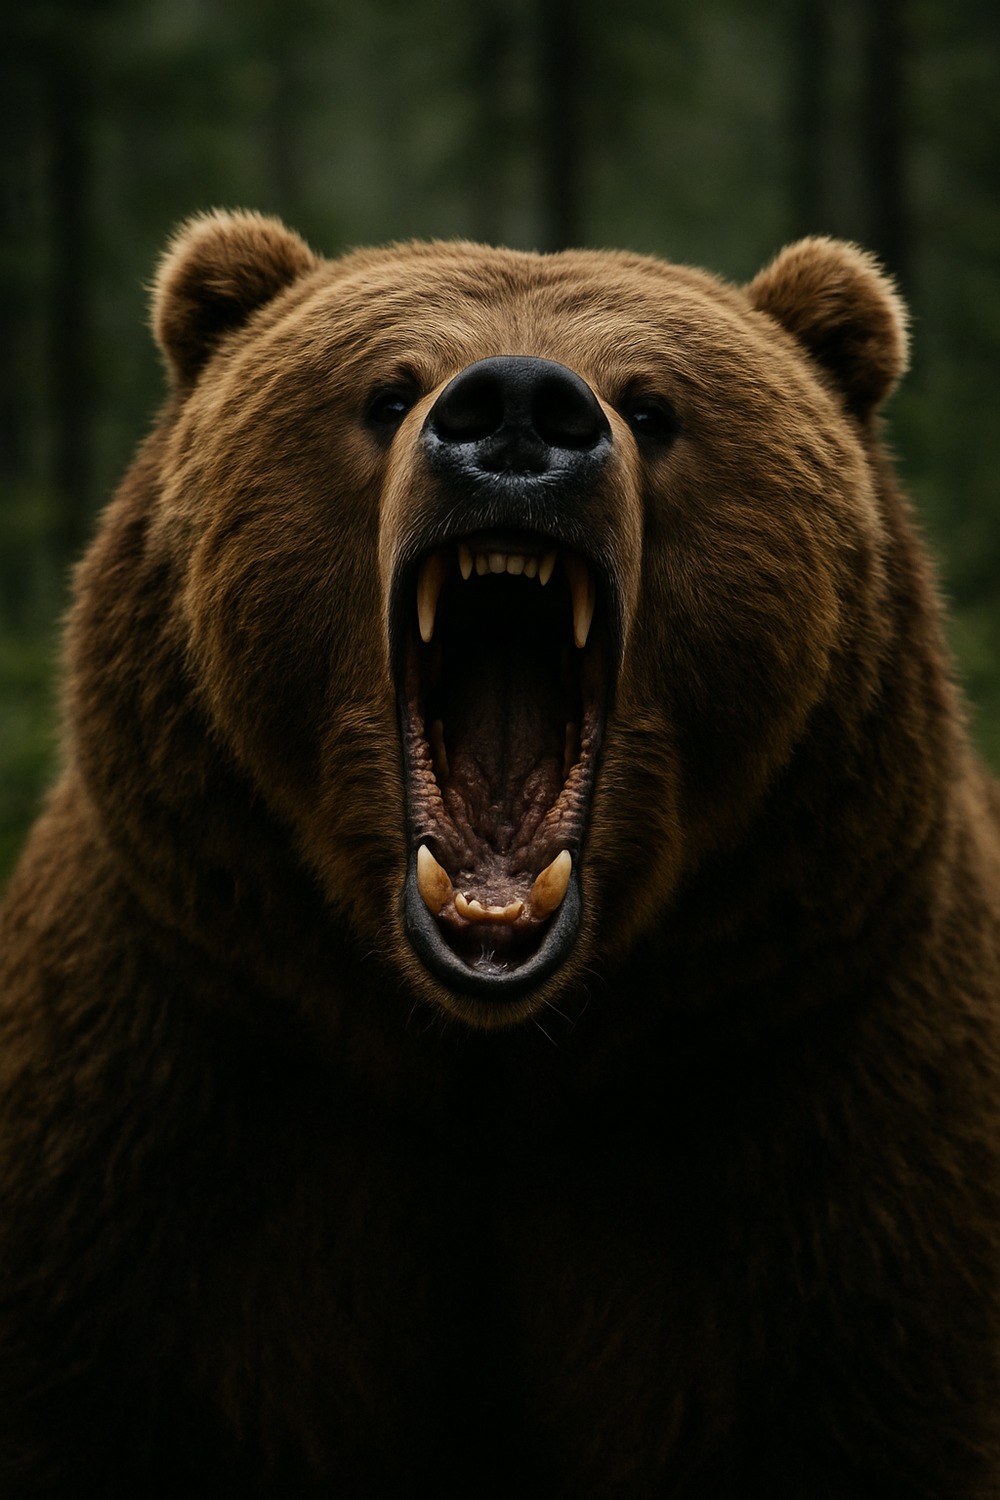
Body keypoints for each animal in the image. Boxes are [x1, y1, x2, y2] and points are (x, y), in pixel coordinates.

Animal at [2, 208, 1000, 1499]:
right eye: (386, 392)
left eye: (653, 405)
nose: (519, 407)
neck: (486, 1056)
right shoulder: (176, 1100)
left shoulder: (819, 1101)